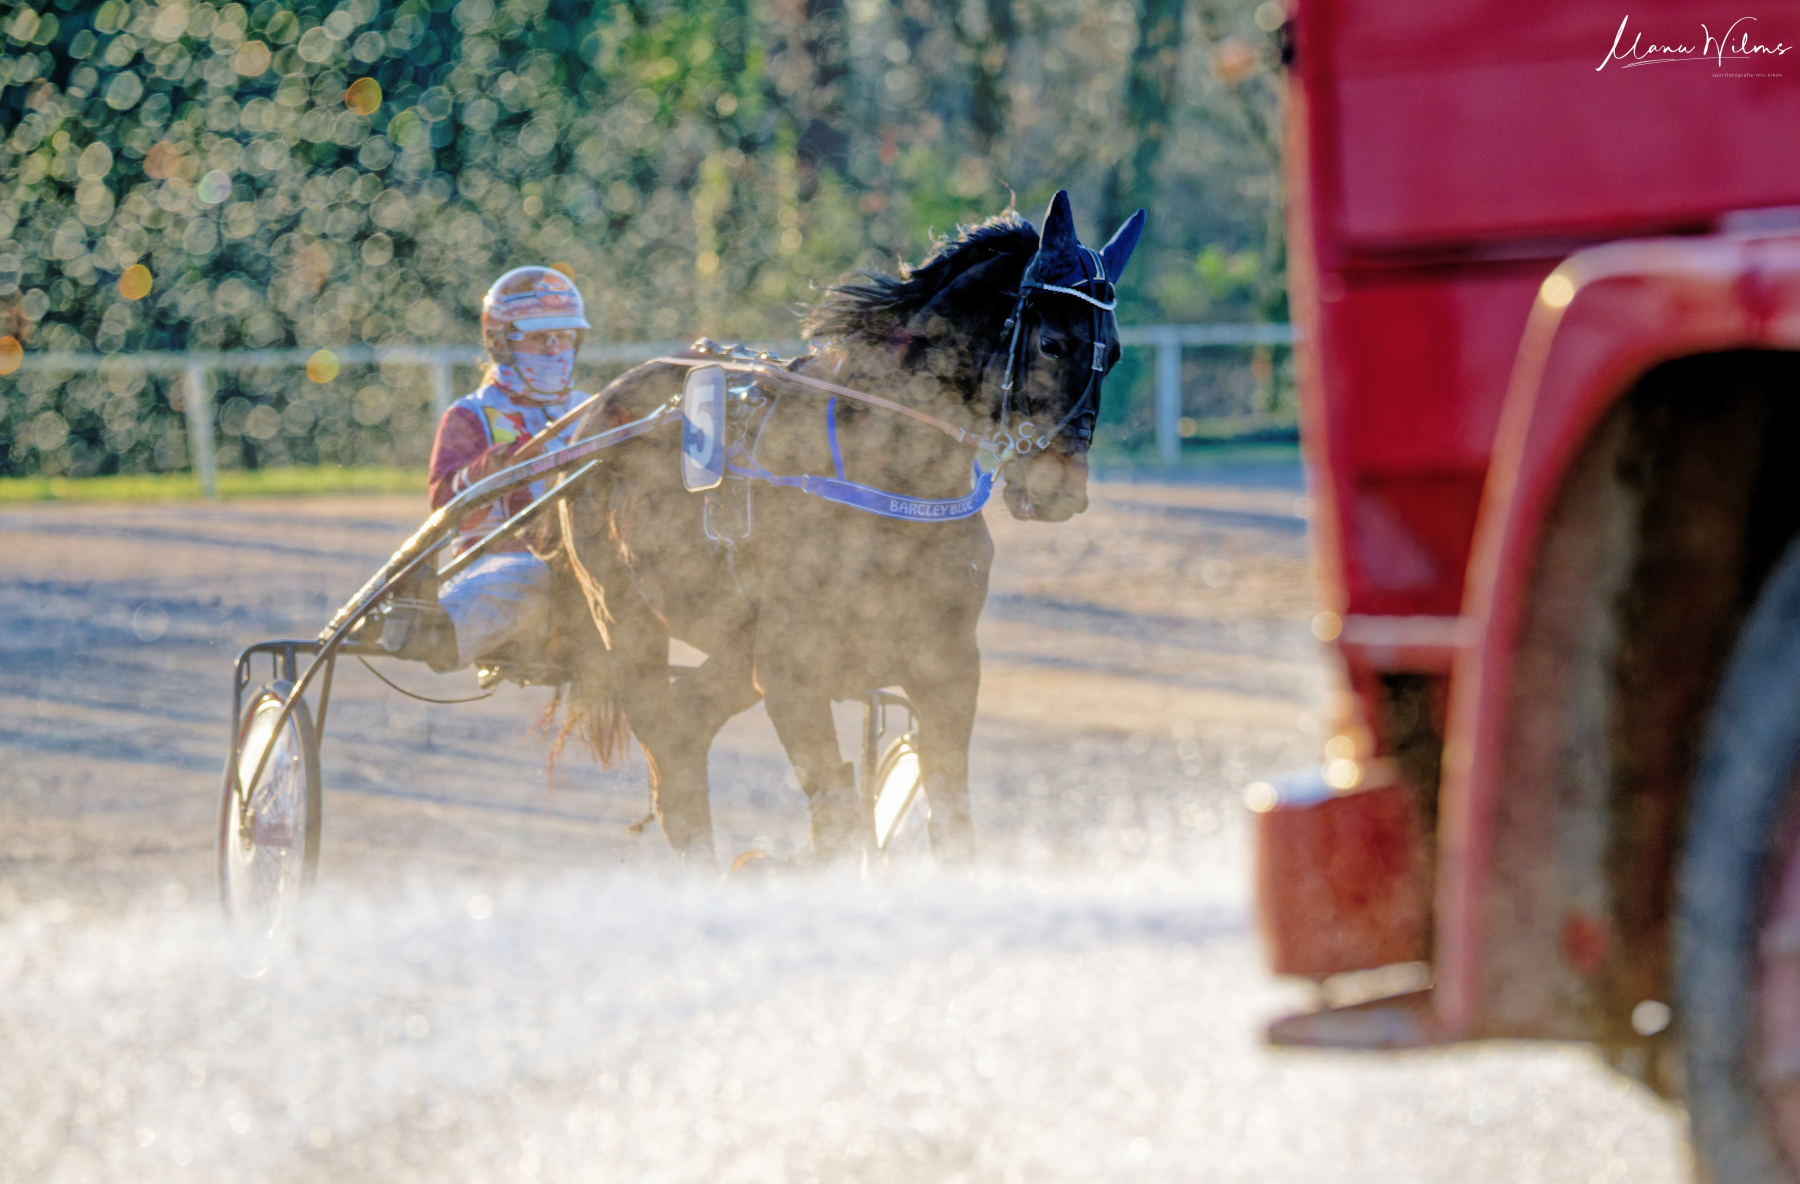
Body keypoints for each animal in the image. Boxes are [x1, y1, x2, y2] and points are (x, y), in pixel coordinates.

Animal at [541, 190, 1145, 868]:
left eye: (1114, 354)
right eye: (1053, 343)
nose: (1063, 489)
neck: (887, 483)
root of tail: (596, 413)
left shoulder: (949, 666)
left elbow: (952, 821)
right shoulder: (792, 674)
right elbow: (835, 821)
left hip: (734, 645)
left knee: (687, 729)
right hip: (623, 619)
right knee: (667, 750)